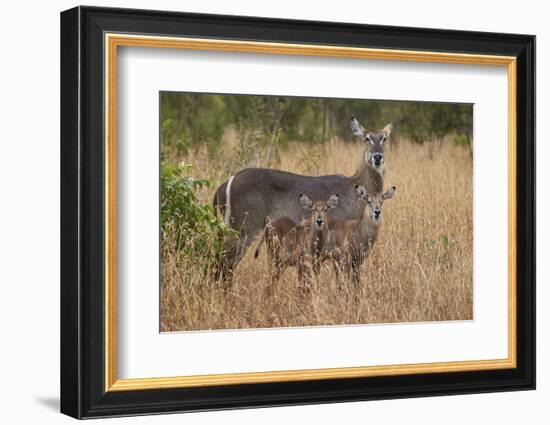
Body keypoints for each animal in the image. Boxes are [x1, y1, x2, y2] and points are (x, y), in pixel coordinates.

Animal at [212, 116, 392, 282]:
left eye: (384, 138)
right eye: (367, 138)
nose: (377, 156)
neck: (356, 187)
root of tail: (225, 184)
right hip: (242, 230)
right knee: (224, 264)